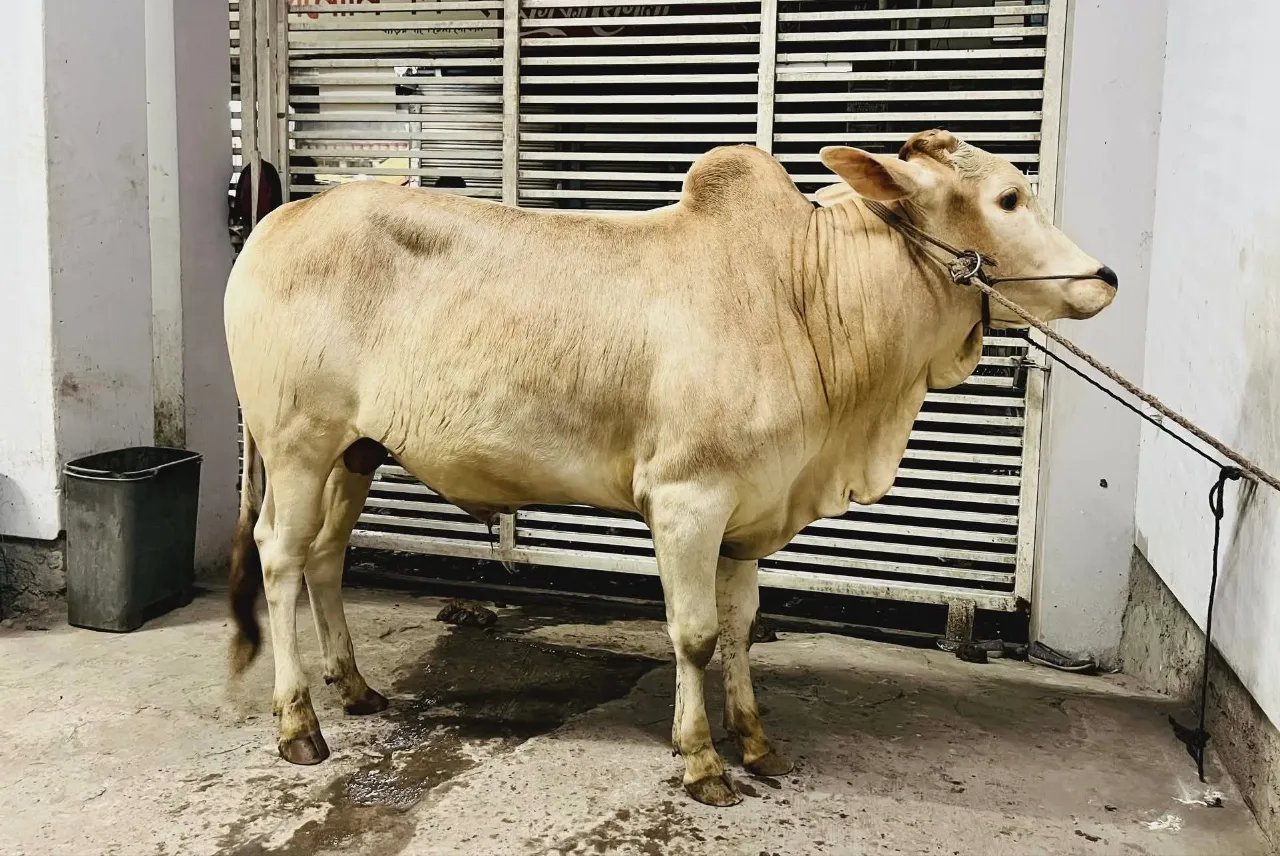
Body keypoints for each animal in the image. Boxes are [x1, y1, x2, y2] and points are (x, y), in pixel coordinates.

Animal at [224, 130, 1116, 806]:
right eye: (1008, 199)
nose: (1104, 276)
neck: (805, 296)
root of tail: (281, 219)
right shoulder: (688, 500)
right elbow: (693, 635)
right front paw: (701, 761)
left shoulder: (751, 515)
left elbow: (742, 628)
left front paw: (756, 741)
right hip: (297, 446)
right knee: (281, 559)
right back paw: (300, 723)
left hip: (356, 454)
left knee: (327, 558)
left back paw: (355, 687)